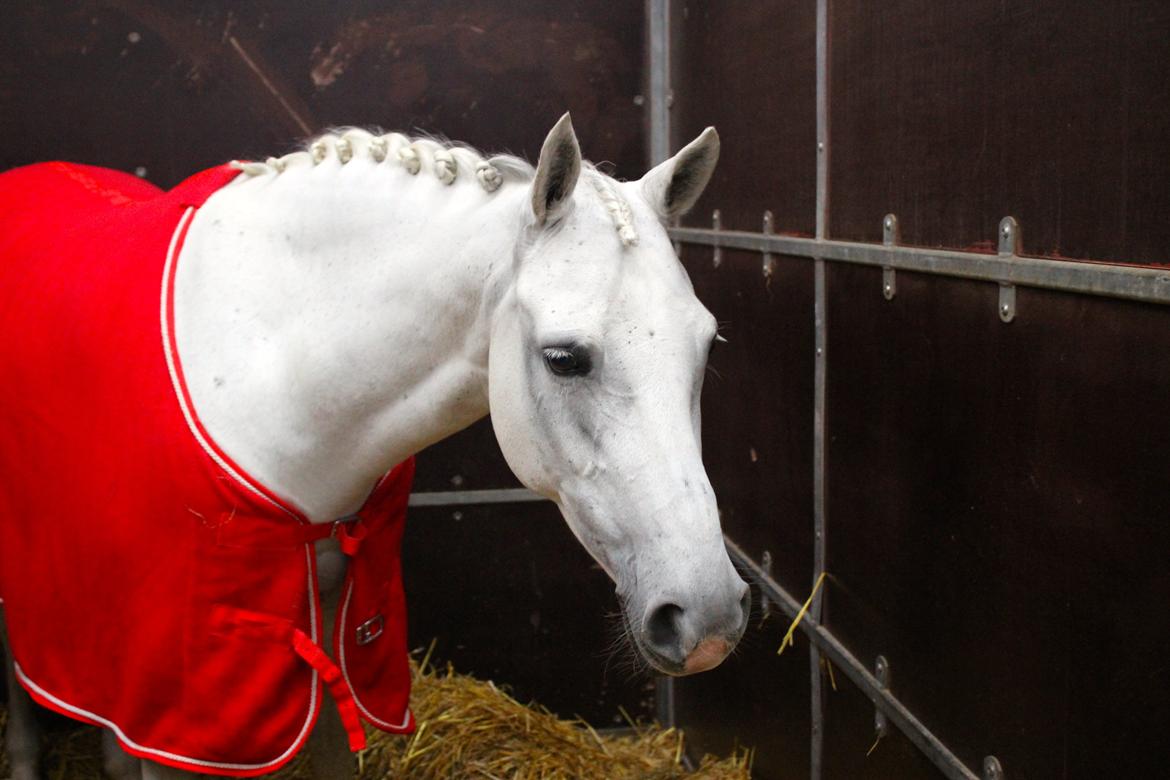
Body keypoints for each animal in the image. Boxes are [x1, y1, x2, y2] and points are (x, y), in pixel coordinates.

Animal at [0, 114, 749, 779]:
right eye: (563, 358)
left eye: (707, 343)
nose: (708, 616)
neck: (265, 367)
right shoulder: (175, 706)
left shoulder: (332, 629)